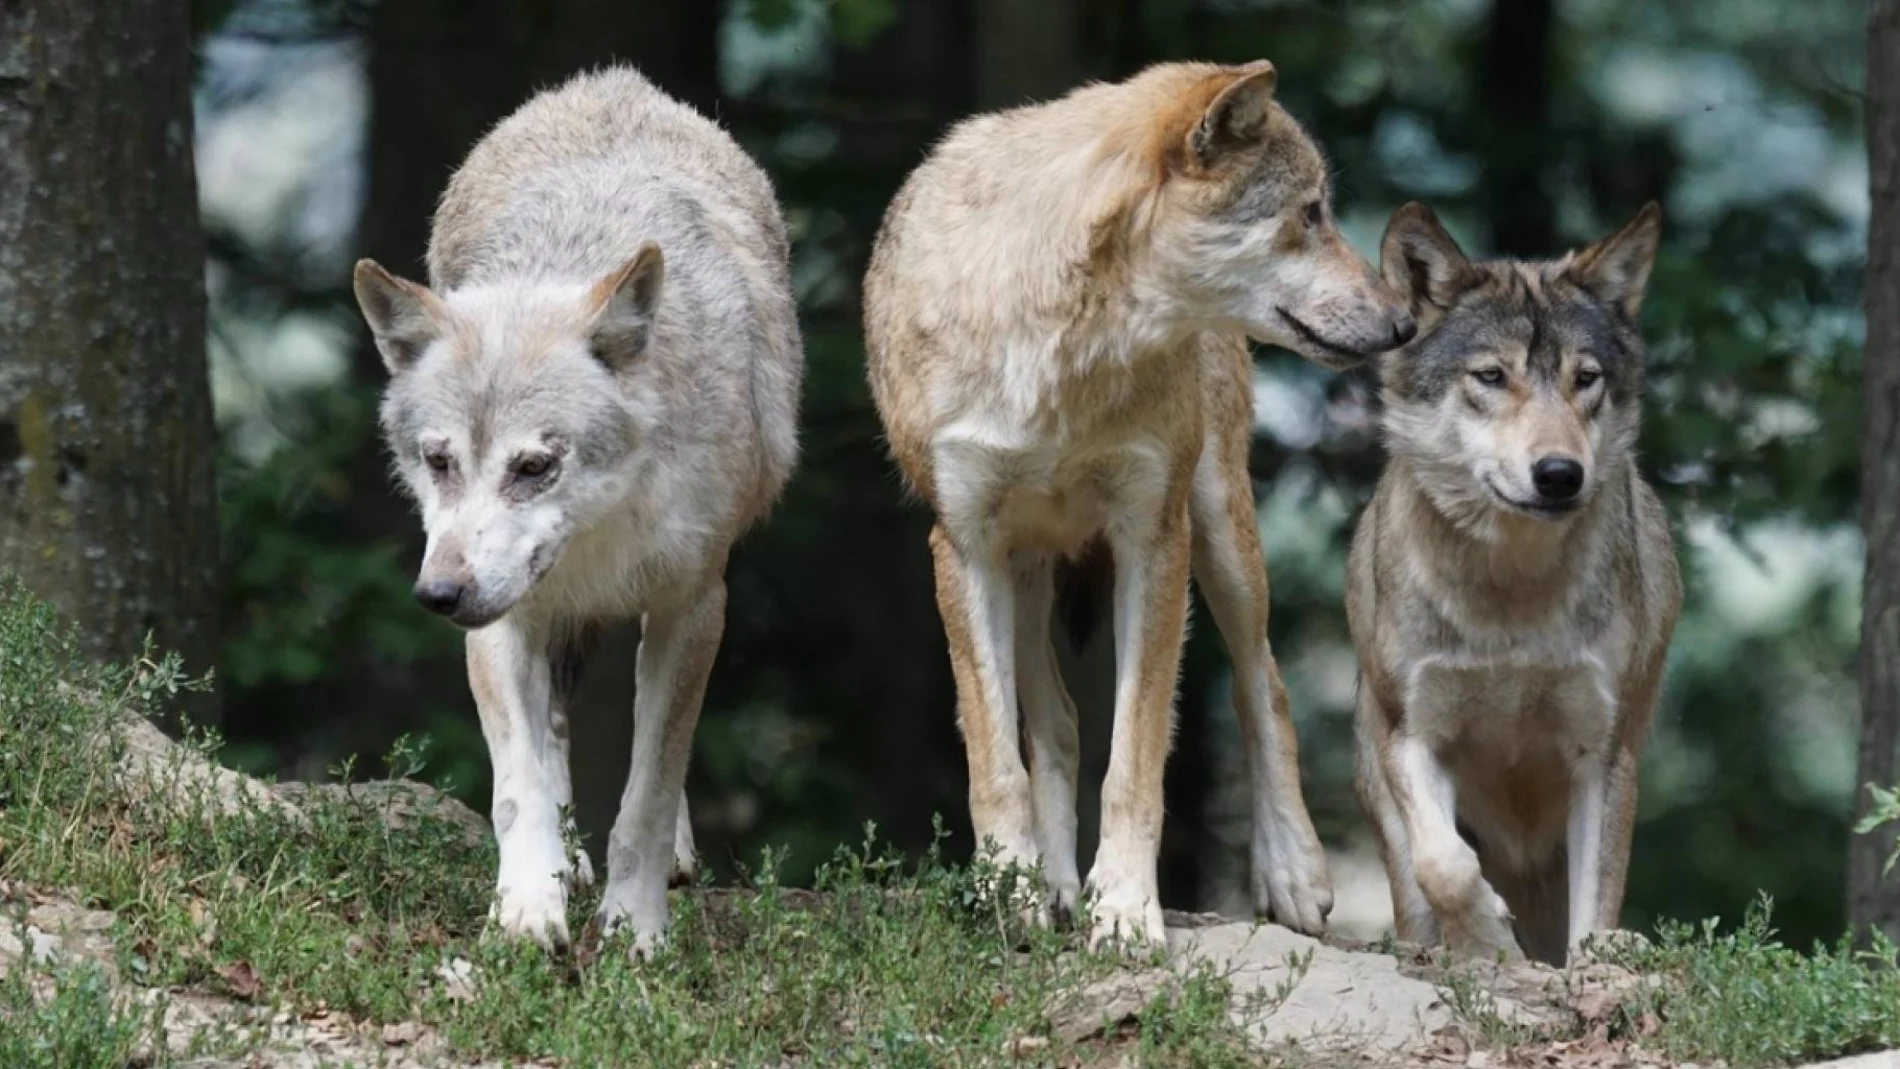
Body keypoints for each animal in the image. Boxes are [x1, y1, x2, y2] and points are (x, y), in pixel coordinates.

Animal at [350, 67, 803, 956]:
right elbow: (518, 785)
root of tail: (609, 81)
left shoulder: (695, 605)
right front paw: (528, 908)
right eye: (440, 461)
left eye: (534, 467)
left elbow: (649, 791)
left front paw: (635, 927)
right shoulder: (501, 619)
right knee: (554, 731)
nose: (438, 595)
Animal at [864, 60, 1416, 947]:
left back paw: (1292, 873)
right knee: (1055, 722)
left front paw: (1123, 908)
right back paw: (1052, 886)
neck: (1065, 351)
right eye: (1310, 213)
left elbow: (1135, 759)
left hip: (1221, 533)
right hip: (1025, 570)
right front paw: (1013, 891)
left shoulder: (1152, 539)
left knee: (1264, 685)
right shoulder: (964, 546)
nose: (1404, 323)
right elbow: (995, 758)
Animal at [1348, 202, 1681, 965]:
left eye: (1585, 378)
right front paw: (1487, 939)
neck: (1510, 595)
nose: (1559, 474)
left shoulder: (1603, 754)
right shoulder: (1411, 732)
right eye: (1492, 376)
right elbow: (1444, 864)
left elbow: (1595, 913)